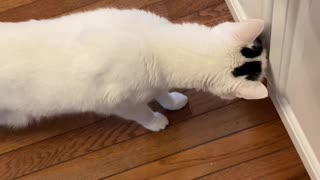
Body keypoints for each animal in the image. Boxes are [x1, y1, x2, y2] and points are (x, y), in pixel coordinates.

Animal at [0, 8, 268, 131]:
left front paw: (172, 102)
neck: (157, 47)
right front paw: (155, 121)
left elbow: (160, 91)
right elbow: (141, 112)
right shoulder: (117, 102)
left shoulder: (156, 79)